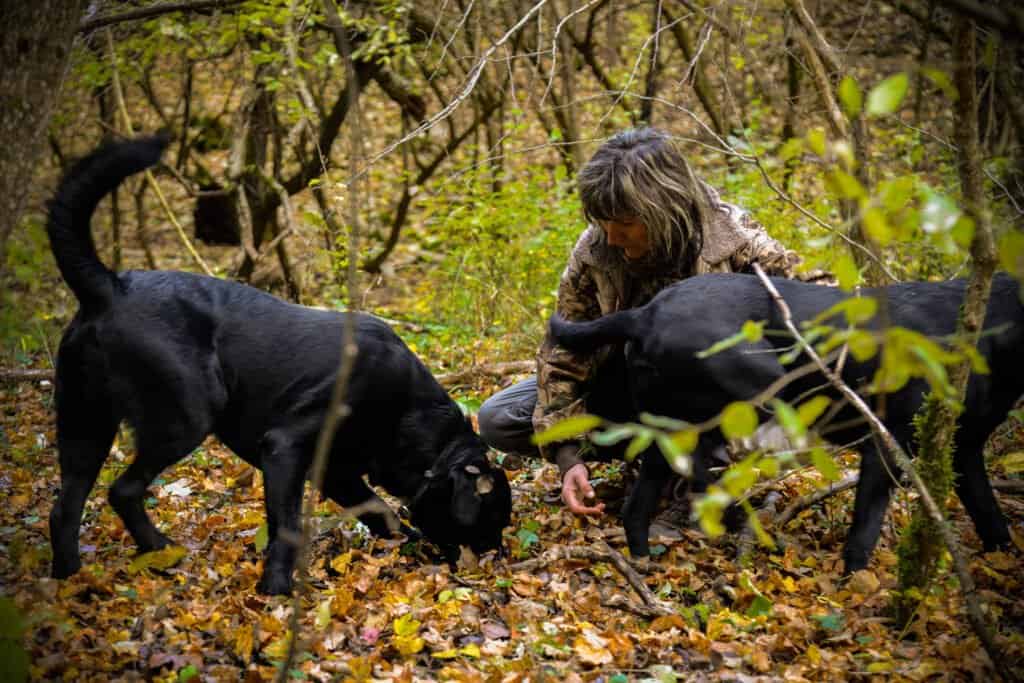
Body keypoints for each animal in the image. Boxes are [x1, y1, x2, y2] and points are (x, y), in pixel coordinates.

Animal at [48, 136, 512, 593]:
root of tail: (109, 287)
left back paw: (73, 581)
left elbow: (378, 509)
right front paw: (275, 587)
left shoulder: (338, 471)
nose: (497, 559)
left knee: (65, 509)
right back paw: (159, 550)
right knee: (123, 491)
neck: (407, 411)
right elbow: (289, 524)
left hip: (85, 427)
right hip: (184, 417)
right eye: (492, 518)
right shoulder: (285, 449)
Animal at [552, 272, 1015, 573]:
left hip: (671, 432)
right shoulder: (885, 443)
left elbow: (991, 516)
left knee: (641, 506)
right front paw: (856, 583)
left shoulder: (966, 451)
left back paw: (647, 560)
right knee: (707, 473)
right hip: (758, 391)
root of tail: (645, 312)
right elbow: (865, 529)